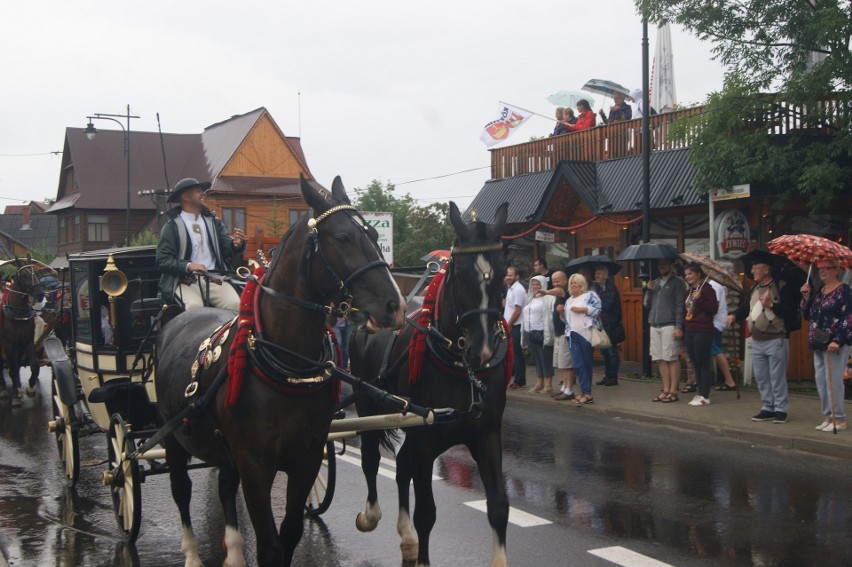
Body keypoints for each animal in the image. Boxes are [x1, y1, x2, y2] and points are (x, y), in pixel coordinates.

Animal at [0, 258, 45, 408]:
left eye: (37, 273)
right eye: (24, 275)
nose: (40, 295)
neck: (18, 313)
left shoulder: (27, 341)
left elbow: (34, 366)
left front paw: (30, 389)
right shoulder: (8, 345)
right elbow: (13, 369)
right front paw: (15, 396)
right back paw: (4, 389)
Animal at [154, 178, 406, 567]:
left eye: (374, 234)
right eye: (343, 238)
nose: (395, 306)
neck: (287, 364)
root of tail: (178, 318)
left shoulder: (306, 459)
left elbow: (290, 534)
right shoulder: (256, 468)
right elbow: (270, 547)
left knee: (224, 485)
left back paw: (233, 552)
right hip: (174, 439)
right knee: (181, 489)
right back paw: (193, 554)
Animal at [350, 203, 510, 567]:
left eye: (502, 274)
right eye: (459, 274)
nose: (482, 350)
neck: (461, 368)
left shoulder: (487, 434)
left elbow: (498, 507)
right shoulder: (425, 439)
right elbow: (426, 512)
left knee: (401, 466)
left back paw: (406, 537)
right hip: (367, 405)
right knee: (371, 459)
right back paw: (371, 515)